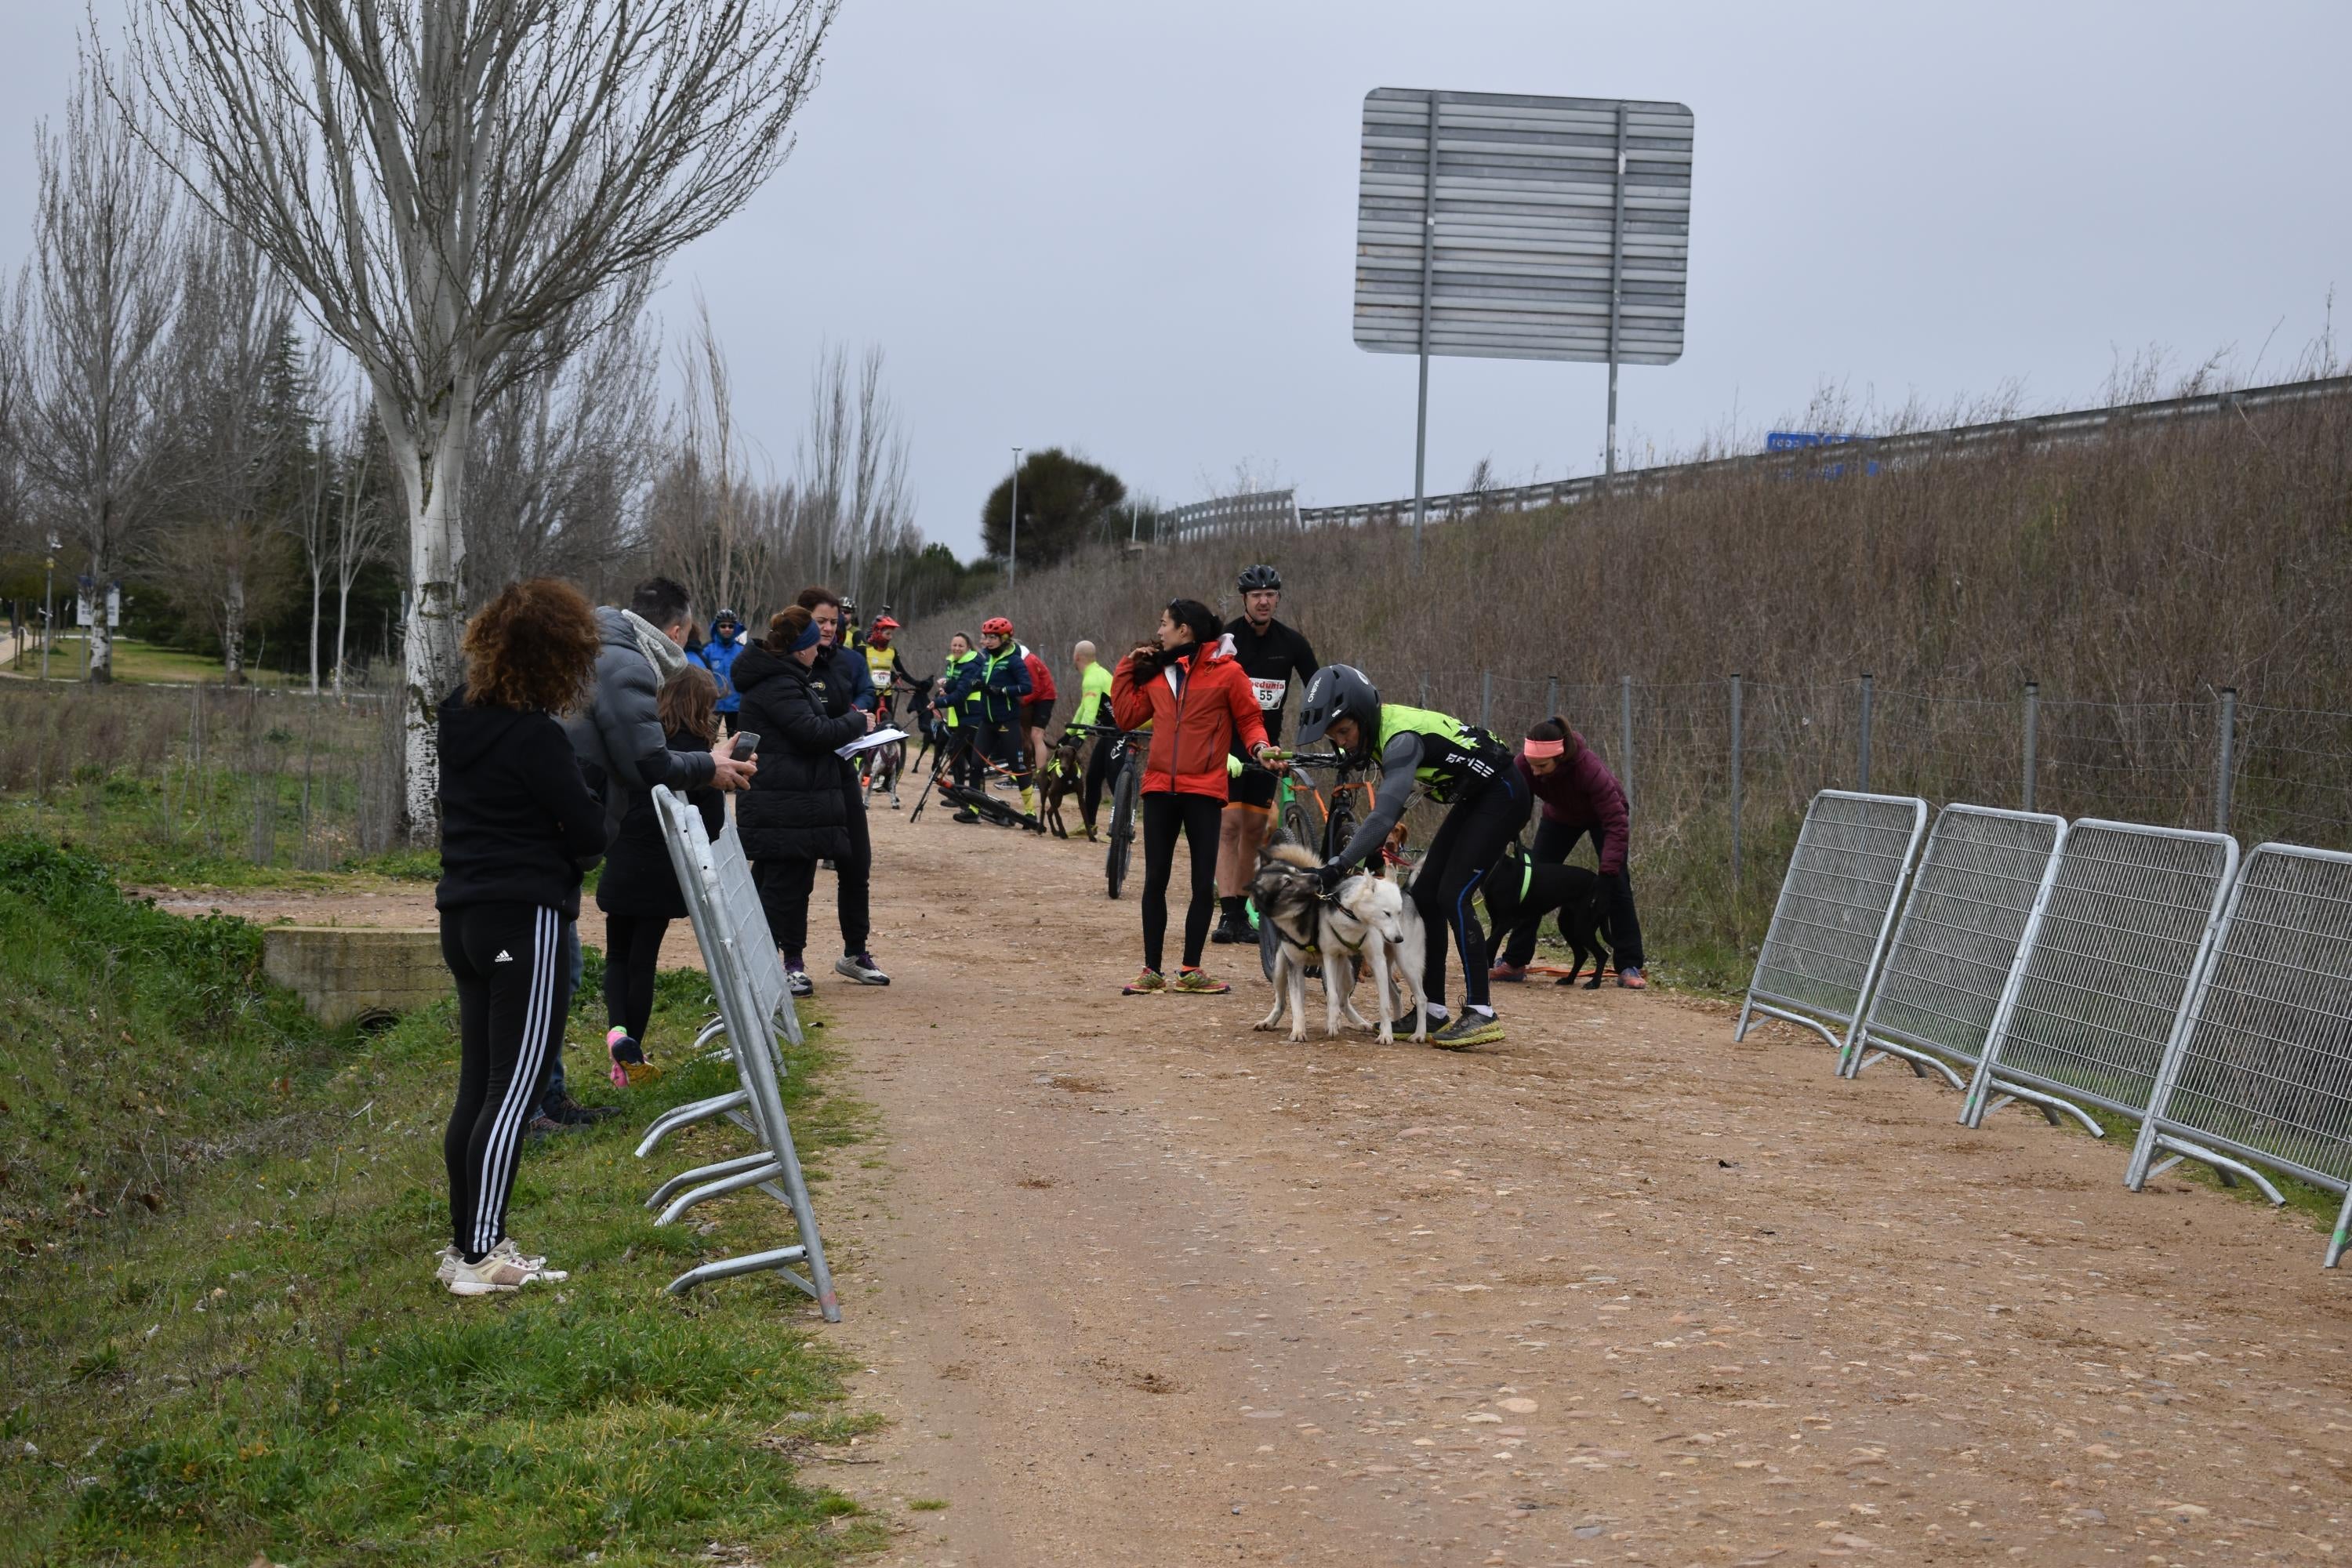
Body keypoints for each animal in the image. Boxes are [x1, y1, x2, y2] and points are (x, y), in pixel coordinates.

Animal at [1251, 846, 1430, 1044]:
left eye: (1398, 913)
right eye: (1386, 913)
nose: (1399, 938)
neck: (1352, 917)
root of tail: (1405, 890)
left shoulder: (1376, 960)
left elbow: (1383, 1004)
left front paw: (1385, 1035)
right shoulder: (1329, 958)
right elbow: (1329, 996)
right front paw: (1328, 1024)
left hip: (1404, 965)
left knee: (1420, 998)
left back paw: (1418, 1033)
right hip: (1282, 968)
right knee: (1283, 1000)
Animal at [1486, 841, 1618, 987]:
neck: (1499, 870)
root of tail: (1601, 886)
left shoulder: (1507, 921)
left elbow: (1488, 943)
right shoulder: (1496, 921)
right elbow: (1492, 947)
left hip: (1583, 927)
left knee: (1601, 955)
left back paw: (1594, 983)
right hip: (1567, 925)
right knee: (1581, 955)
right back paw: (1568, 980)